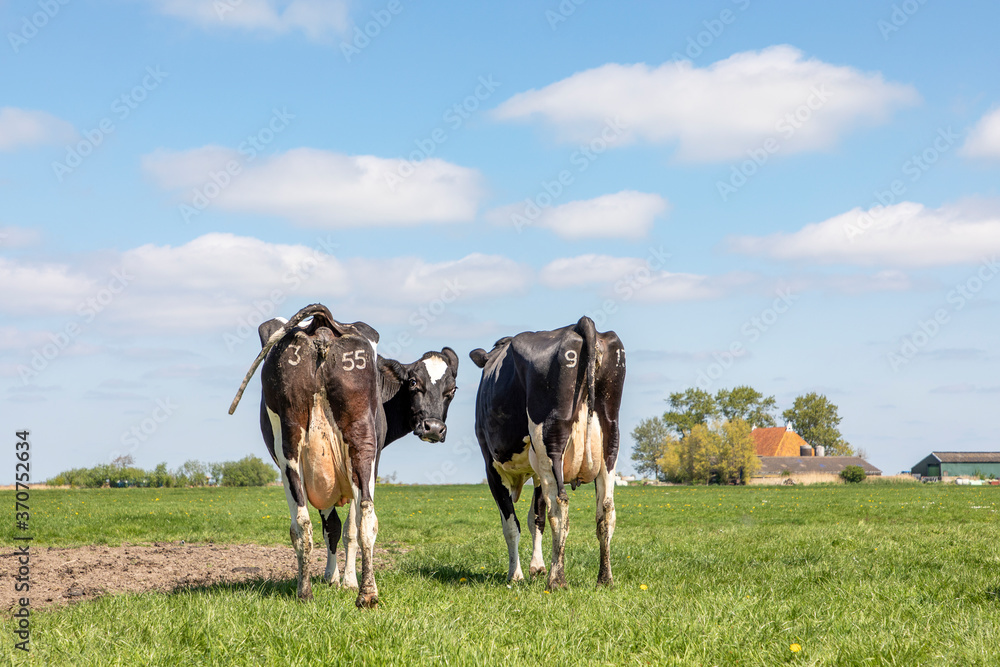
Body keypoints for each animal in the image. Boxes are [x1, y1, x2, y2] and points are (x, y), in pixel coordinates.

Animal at [229, 306, 458, 608]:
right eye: (413, 383)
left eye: (451, 390)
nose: (433, 428)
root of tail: (322, 323)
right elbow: (344, 527)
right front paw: (344, 580)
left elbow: (334, 526)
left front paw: (334, 578)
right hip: (361, 448)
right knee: (362, 520)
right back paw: (361, 592)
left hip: (294, 450)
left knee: (304, 523)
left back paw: (314, 593)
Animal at [470, 318, 624, 588]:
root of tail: (580, 324)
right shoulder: (537, 472)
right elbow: (536, 518)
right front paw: (536, 567)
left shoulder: (491, 466)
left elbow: (512, 524)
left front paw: (516, 574)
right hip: (609, 438)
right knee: (606, 509)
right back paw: (604, 579)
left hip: (550, 441)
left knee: (560, 507)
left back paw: (557, 579)